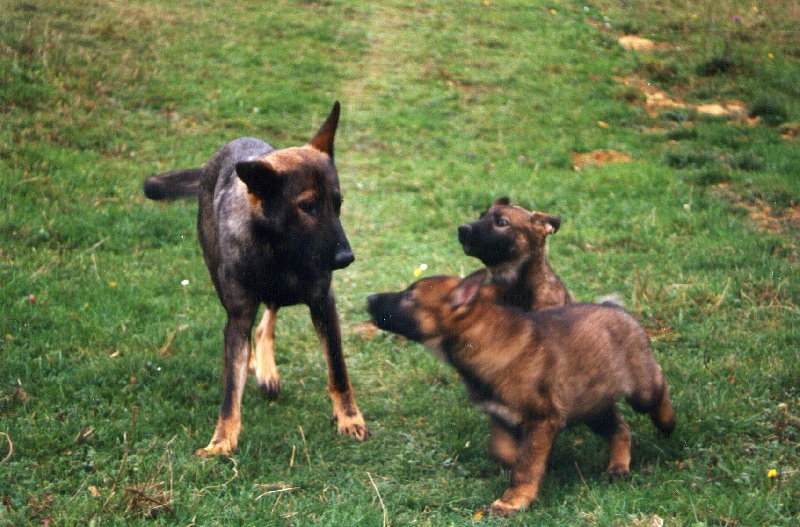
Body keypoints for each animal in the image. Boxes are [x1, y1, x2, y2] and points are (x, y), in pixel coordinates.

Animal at [144, 101, 368, 456]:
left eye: (338, 204)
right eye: (308, 206)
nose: (345, 258)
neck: (279, 250)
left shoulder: (323, 304)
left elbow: (338, 372)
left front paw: (349, 418)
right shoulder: (237, 317)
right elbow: (230, 391)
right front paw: (221, 440)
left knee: (268, 320)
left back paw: (266, 370)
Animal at [368, 272, 676, 516]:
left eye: (409, 297)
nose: (369, 298)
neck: (481, 341)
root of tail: (616, 309)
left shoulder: (541, 419)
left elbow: (526, 464)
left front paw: (514, 501)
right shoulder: (502, 417)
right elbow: (506, 454)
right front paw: (535, 471)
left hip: (640, 390)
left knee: (659, 381)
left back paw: (667, 423)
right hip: (592, 407)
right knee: (620, 429)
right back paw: (618, 467)